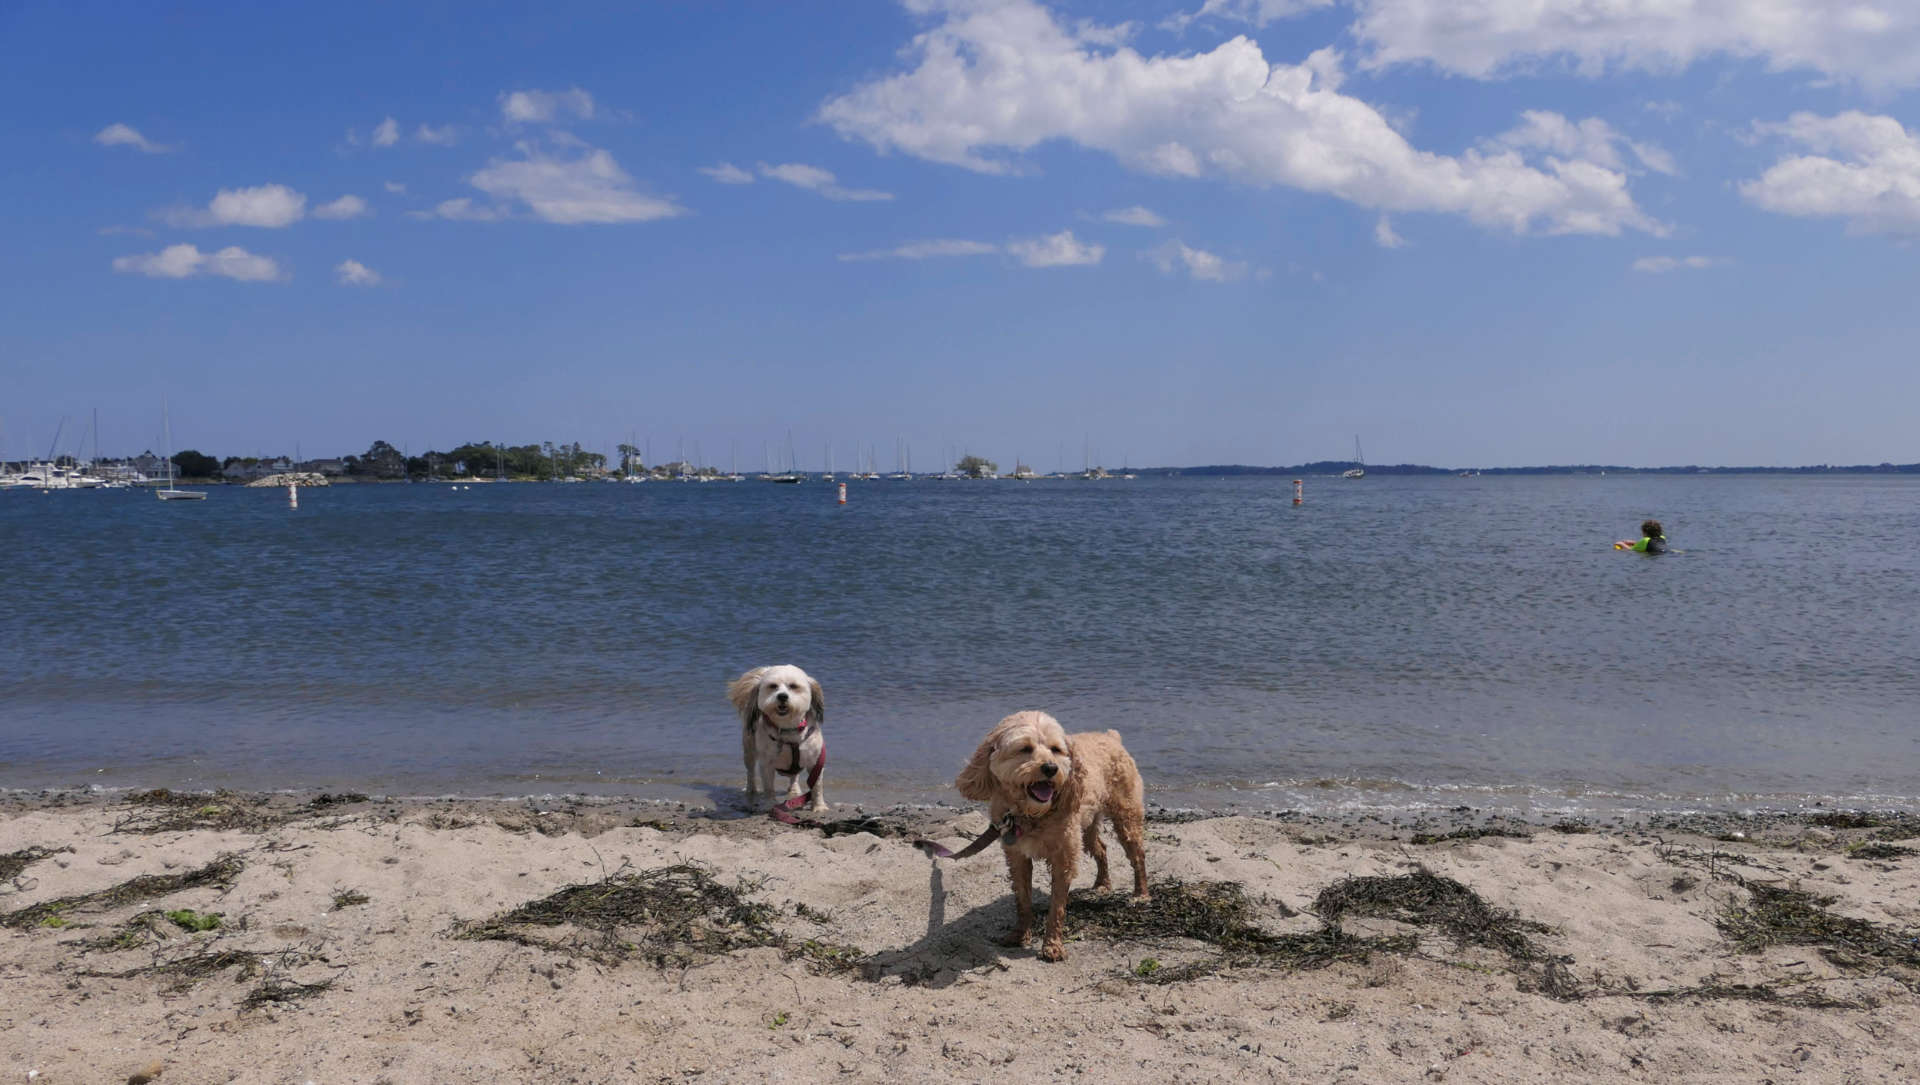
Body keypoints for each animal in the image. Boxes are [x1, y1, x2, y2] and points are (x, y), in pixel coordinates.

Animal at [725, 660, 825, 814]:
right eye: (773, 686)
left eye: (793, 686)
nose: (782, 696)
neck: (788, 729)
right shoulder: (767, 763)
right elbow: (768, 787)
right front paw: (769, 804)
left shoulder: (815, 761)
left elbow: (816, 786)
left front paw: (819, 806)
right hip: (749, 750)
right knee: (750, 771)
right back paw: (751, 790)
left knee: (794, 775)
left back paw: (794, 790)